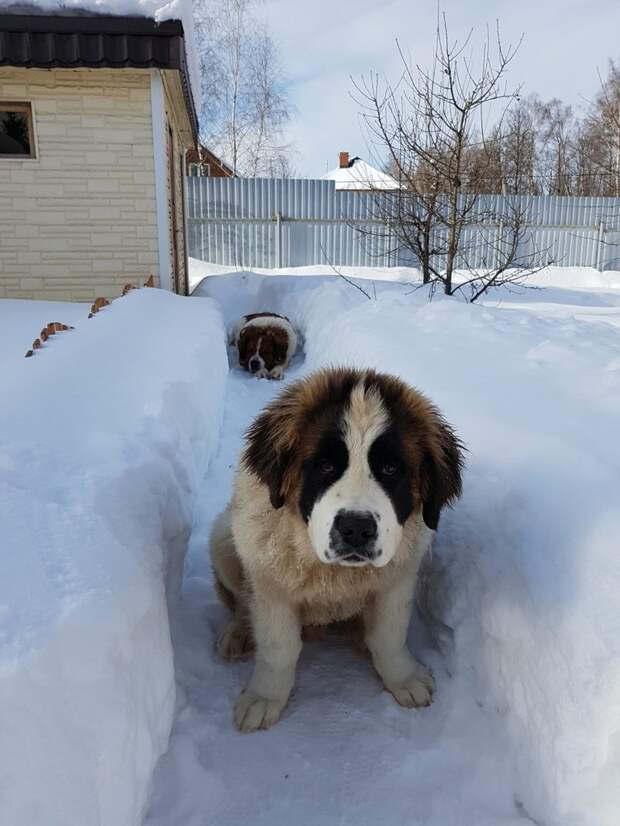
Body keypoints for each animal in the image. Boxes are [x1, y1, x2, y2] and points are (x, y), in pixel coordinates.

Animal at [211, 364, 462, 732]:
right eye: (326, 466)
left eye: (390, 469)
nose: (356, 528)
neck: (333, 573)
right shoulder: (271, 588)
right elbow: (279, 649)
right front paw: (265, 697)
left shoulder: (396, 582)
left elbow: (388, 636)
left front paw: (402, 678)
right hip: (223, 542)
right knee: (242, 602)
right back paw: (238, 633)